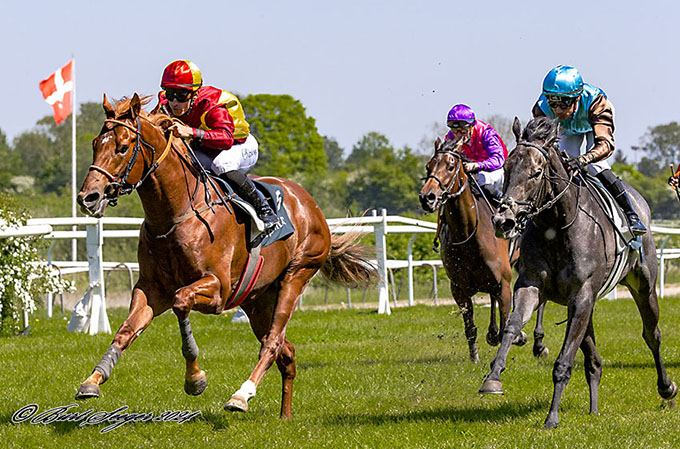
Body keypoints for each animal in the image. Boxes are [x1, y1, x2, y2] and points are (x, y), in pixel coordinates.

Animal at [74, 93, 378, 418]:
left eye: (122, 146)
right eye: (95, 143)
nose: (88, 198)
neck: (175, 215)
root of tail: (311, 204)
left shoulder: (217, 289)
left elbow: (182, 301)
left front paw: (195, 379)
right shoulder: (152, 288)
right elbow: (127, 329)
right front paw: (93, 380)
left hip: (296, 275)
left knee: (272, 343)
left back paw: (241, 396)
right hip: (258, 300)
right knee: (286, 352)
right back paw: (284, 416)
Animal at [420, 136, 548, 360]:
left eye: (451, 166)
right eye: (429, 166)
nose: (427, 197)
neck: (468, 234)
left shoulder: (504, 283)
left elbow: (508, 324)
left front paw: (518, 336)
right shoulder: (459, 289)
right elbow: (470, 327)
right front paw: (475, 358)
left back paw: (538, 343)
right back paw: (493, 333)